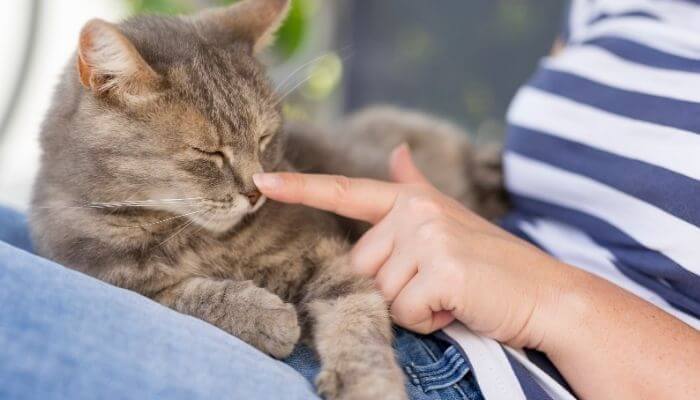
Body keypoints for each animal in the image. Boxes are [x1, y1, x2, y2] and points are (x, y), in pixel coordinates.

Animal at [28, 1, 410, 398]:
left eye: (264, 138)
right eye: (209, 153)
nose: (256, 193)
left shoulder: (326, 249)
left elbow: (357, 314)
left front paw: (367, 382)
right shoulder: (108, 275)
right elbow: (183, 295)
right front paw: (263, 316)